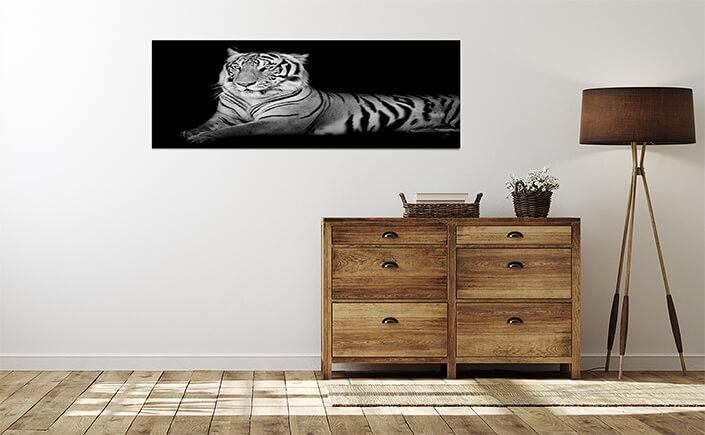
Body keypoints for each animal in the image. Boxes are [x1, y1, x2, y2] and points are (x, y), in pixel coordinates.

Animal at [181, 49, 460, 143]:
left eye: (265, 68)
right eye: (237, 68)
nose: (244, 84)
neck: (252, 100)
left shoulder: (282, 122)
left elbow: (240, 130)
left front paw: (202, 138)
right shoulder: (224, 115)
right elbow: (209, 123)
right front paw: (191, 132)